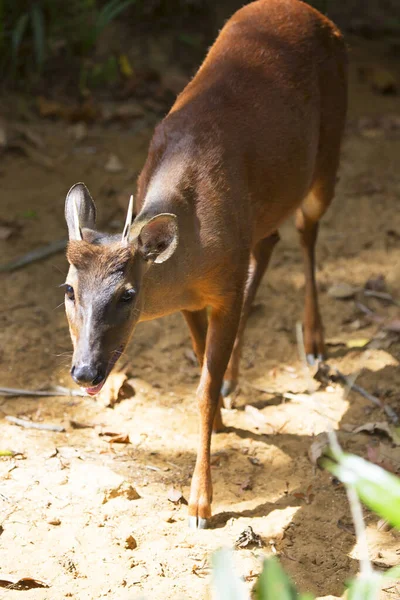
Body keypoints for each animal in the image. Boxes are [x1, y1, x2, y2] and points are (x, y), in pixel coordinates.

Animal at [63, 0, 346, 528]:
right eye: (69, 291)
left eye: (127, 294)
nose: (86, 372)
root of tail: (310, 11)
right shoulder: (195, 298)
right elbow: (200, 368)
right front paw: (221, 408)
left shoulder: (222, 288)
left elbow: (200, 390)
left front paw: (201, 502)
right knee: (271, 239)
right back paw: (238, 375)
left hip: (328, 153)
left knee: (306, 231)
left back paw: (314, 342)